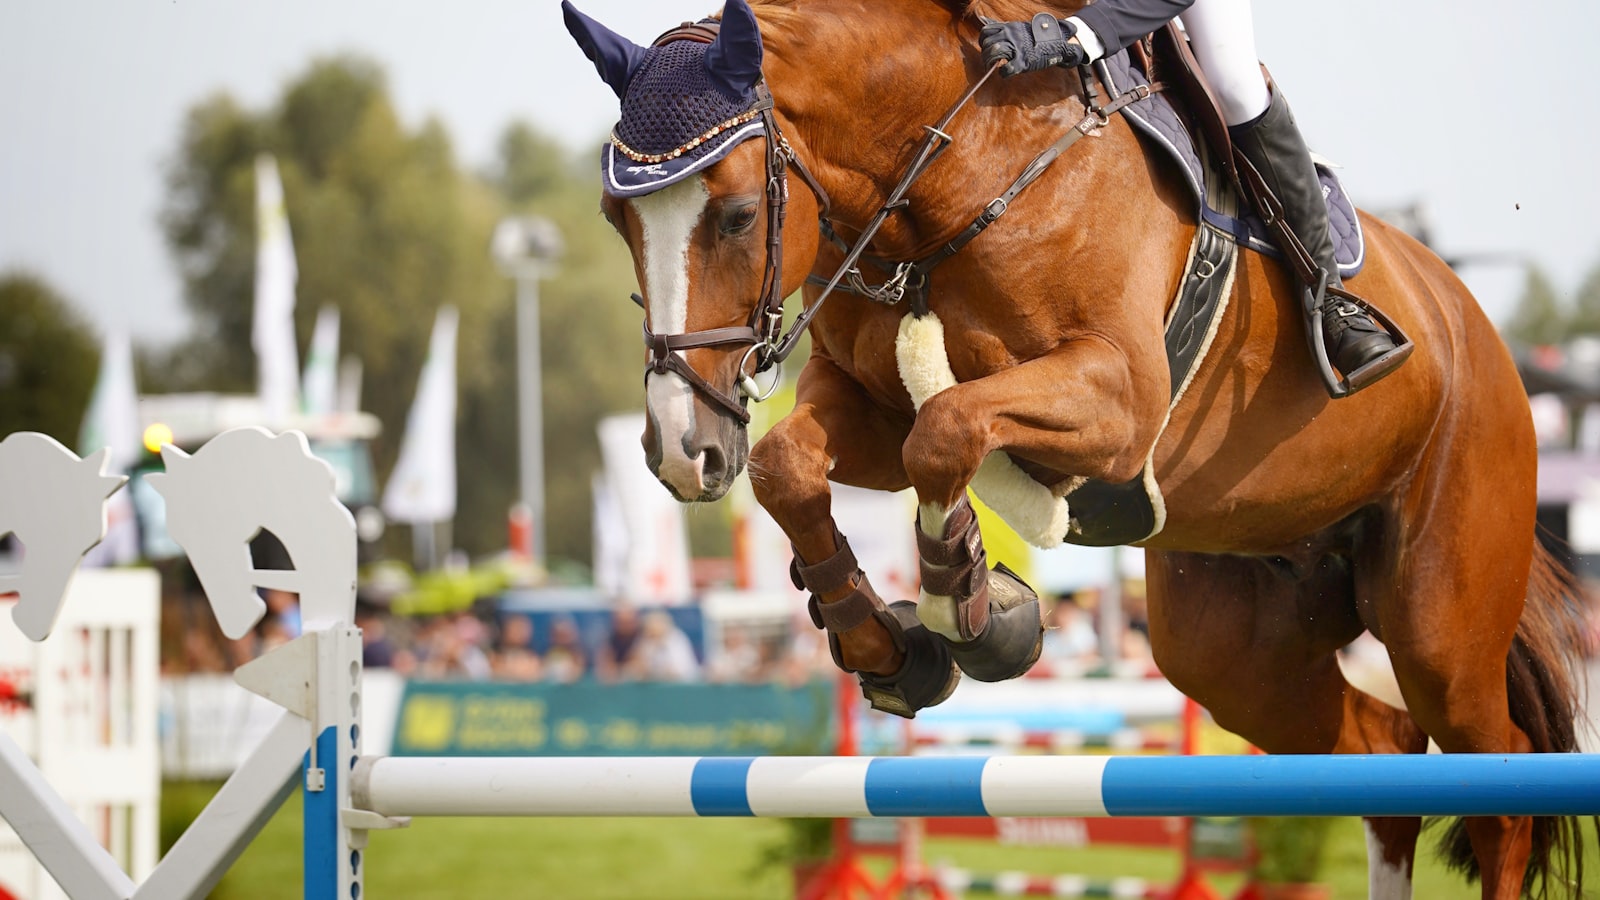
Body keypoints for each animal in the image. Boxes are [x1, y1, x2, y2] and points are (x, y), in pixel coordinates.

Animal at [563, 0, 1591, 895]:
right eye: (618, 220)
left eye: (737, 215)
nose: (681, 450)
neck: (952, 177)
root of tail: (1476, 329)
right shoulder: (870, 409)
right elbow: (796, 465)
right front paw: (889, 646)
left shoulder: (1116, 398)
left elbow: (948, 429)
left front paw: (973, 605)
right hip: (1235, 648)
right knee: (1385, 760)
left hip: (1439, 618)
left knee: (1499, 793)